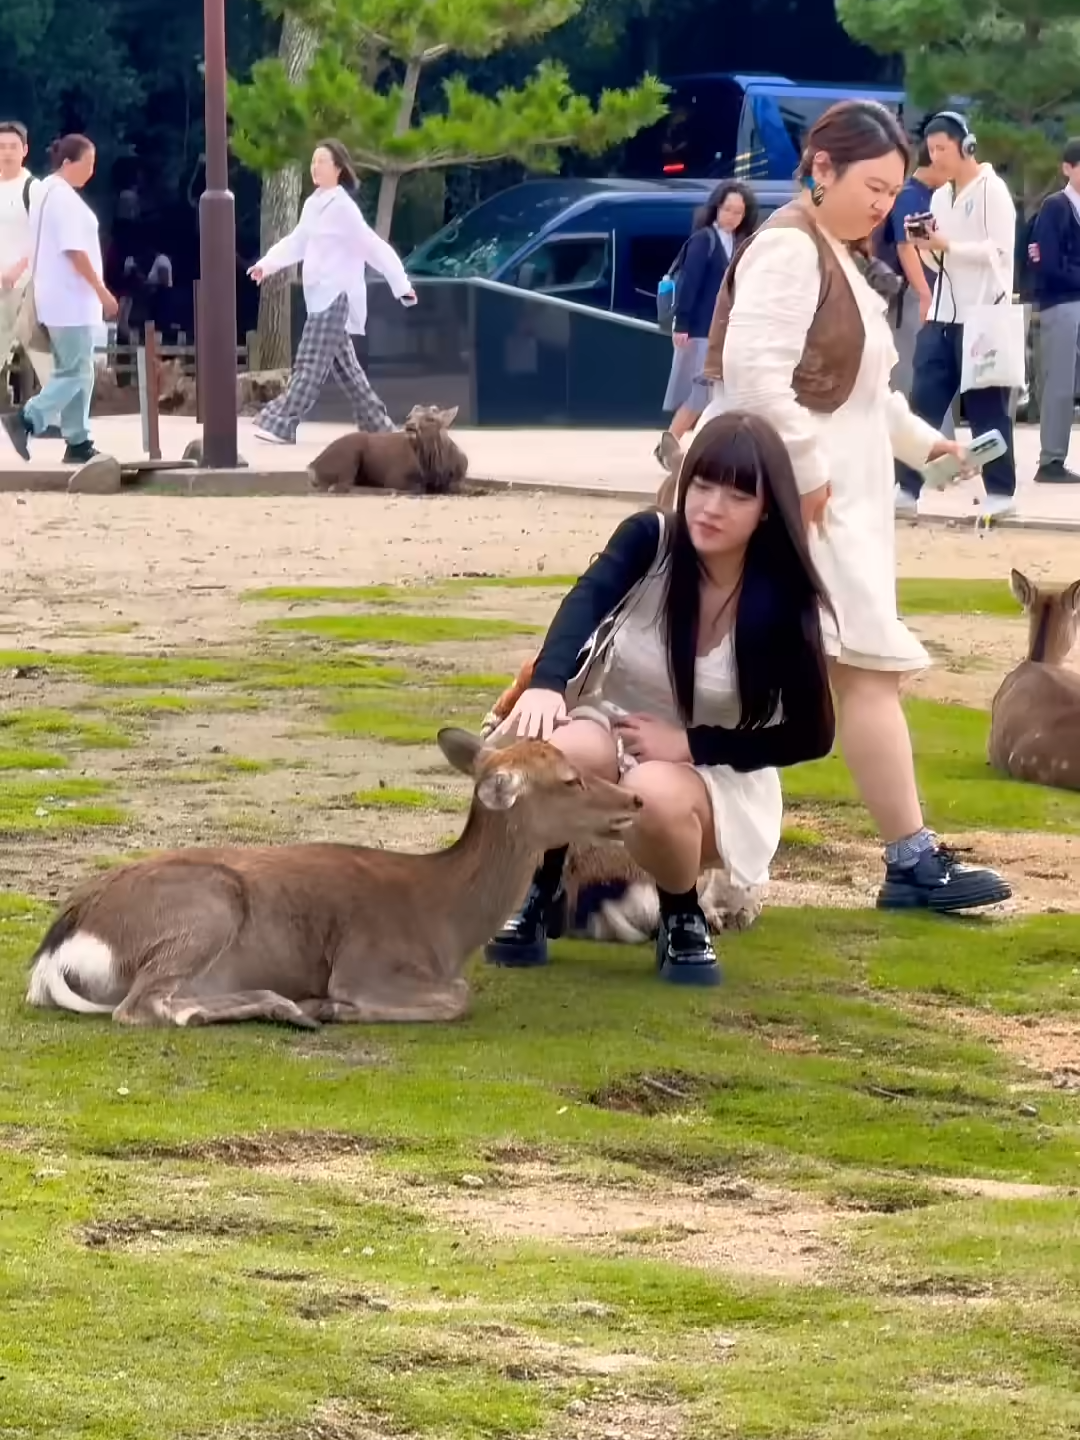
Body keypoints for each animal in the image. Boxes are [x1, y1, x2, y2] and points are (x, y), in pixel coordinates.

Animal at [25, 729, 642, 1030]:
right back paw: (295, 1009)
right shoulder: (366, 962)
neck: (444, 923)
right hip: (206, 909)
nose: (634, 799)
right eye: (570, 778)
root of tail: (56, 952)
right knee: (144, 1007)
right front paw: (340, 1008)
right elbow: (459, 997)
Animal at [307, 404, 466, 496]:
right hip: (348, 458)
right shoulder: (395, 476)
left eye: (431, 418)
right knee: (341, 486)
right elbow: (418, 488)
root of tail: (312, 466)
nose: (410, 426)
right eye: (409, 416)